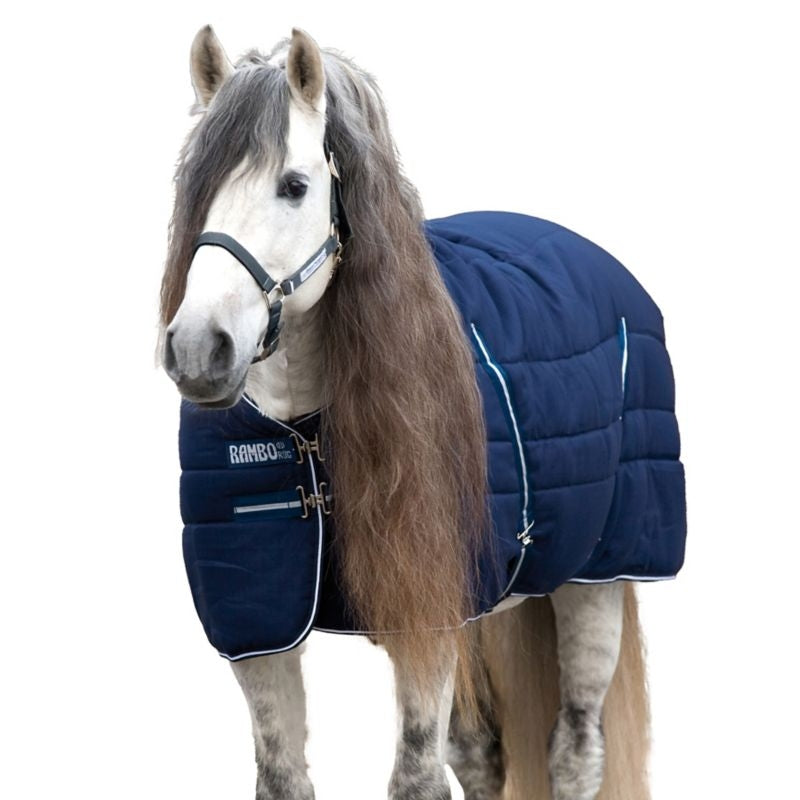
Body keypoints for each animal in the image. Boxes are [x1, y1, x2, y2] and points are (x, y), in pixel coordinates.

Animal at [160, 26, 685, 800]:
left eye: (294, 186)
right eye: (195, 185)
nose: (200, 348)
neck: (307, 437)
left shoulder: (429, 619)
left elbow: (415, 778)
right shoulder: (261, 627)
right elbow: (285, 776)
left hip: (598, 580)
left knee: (574, 752)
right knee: (482, 753)